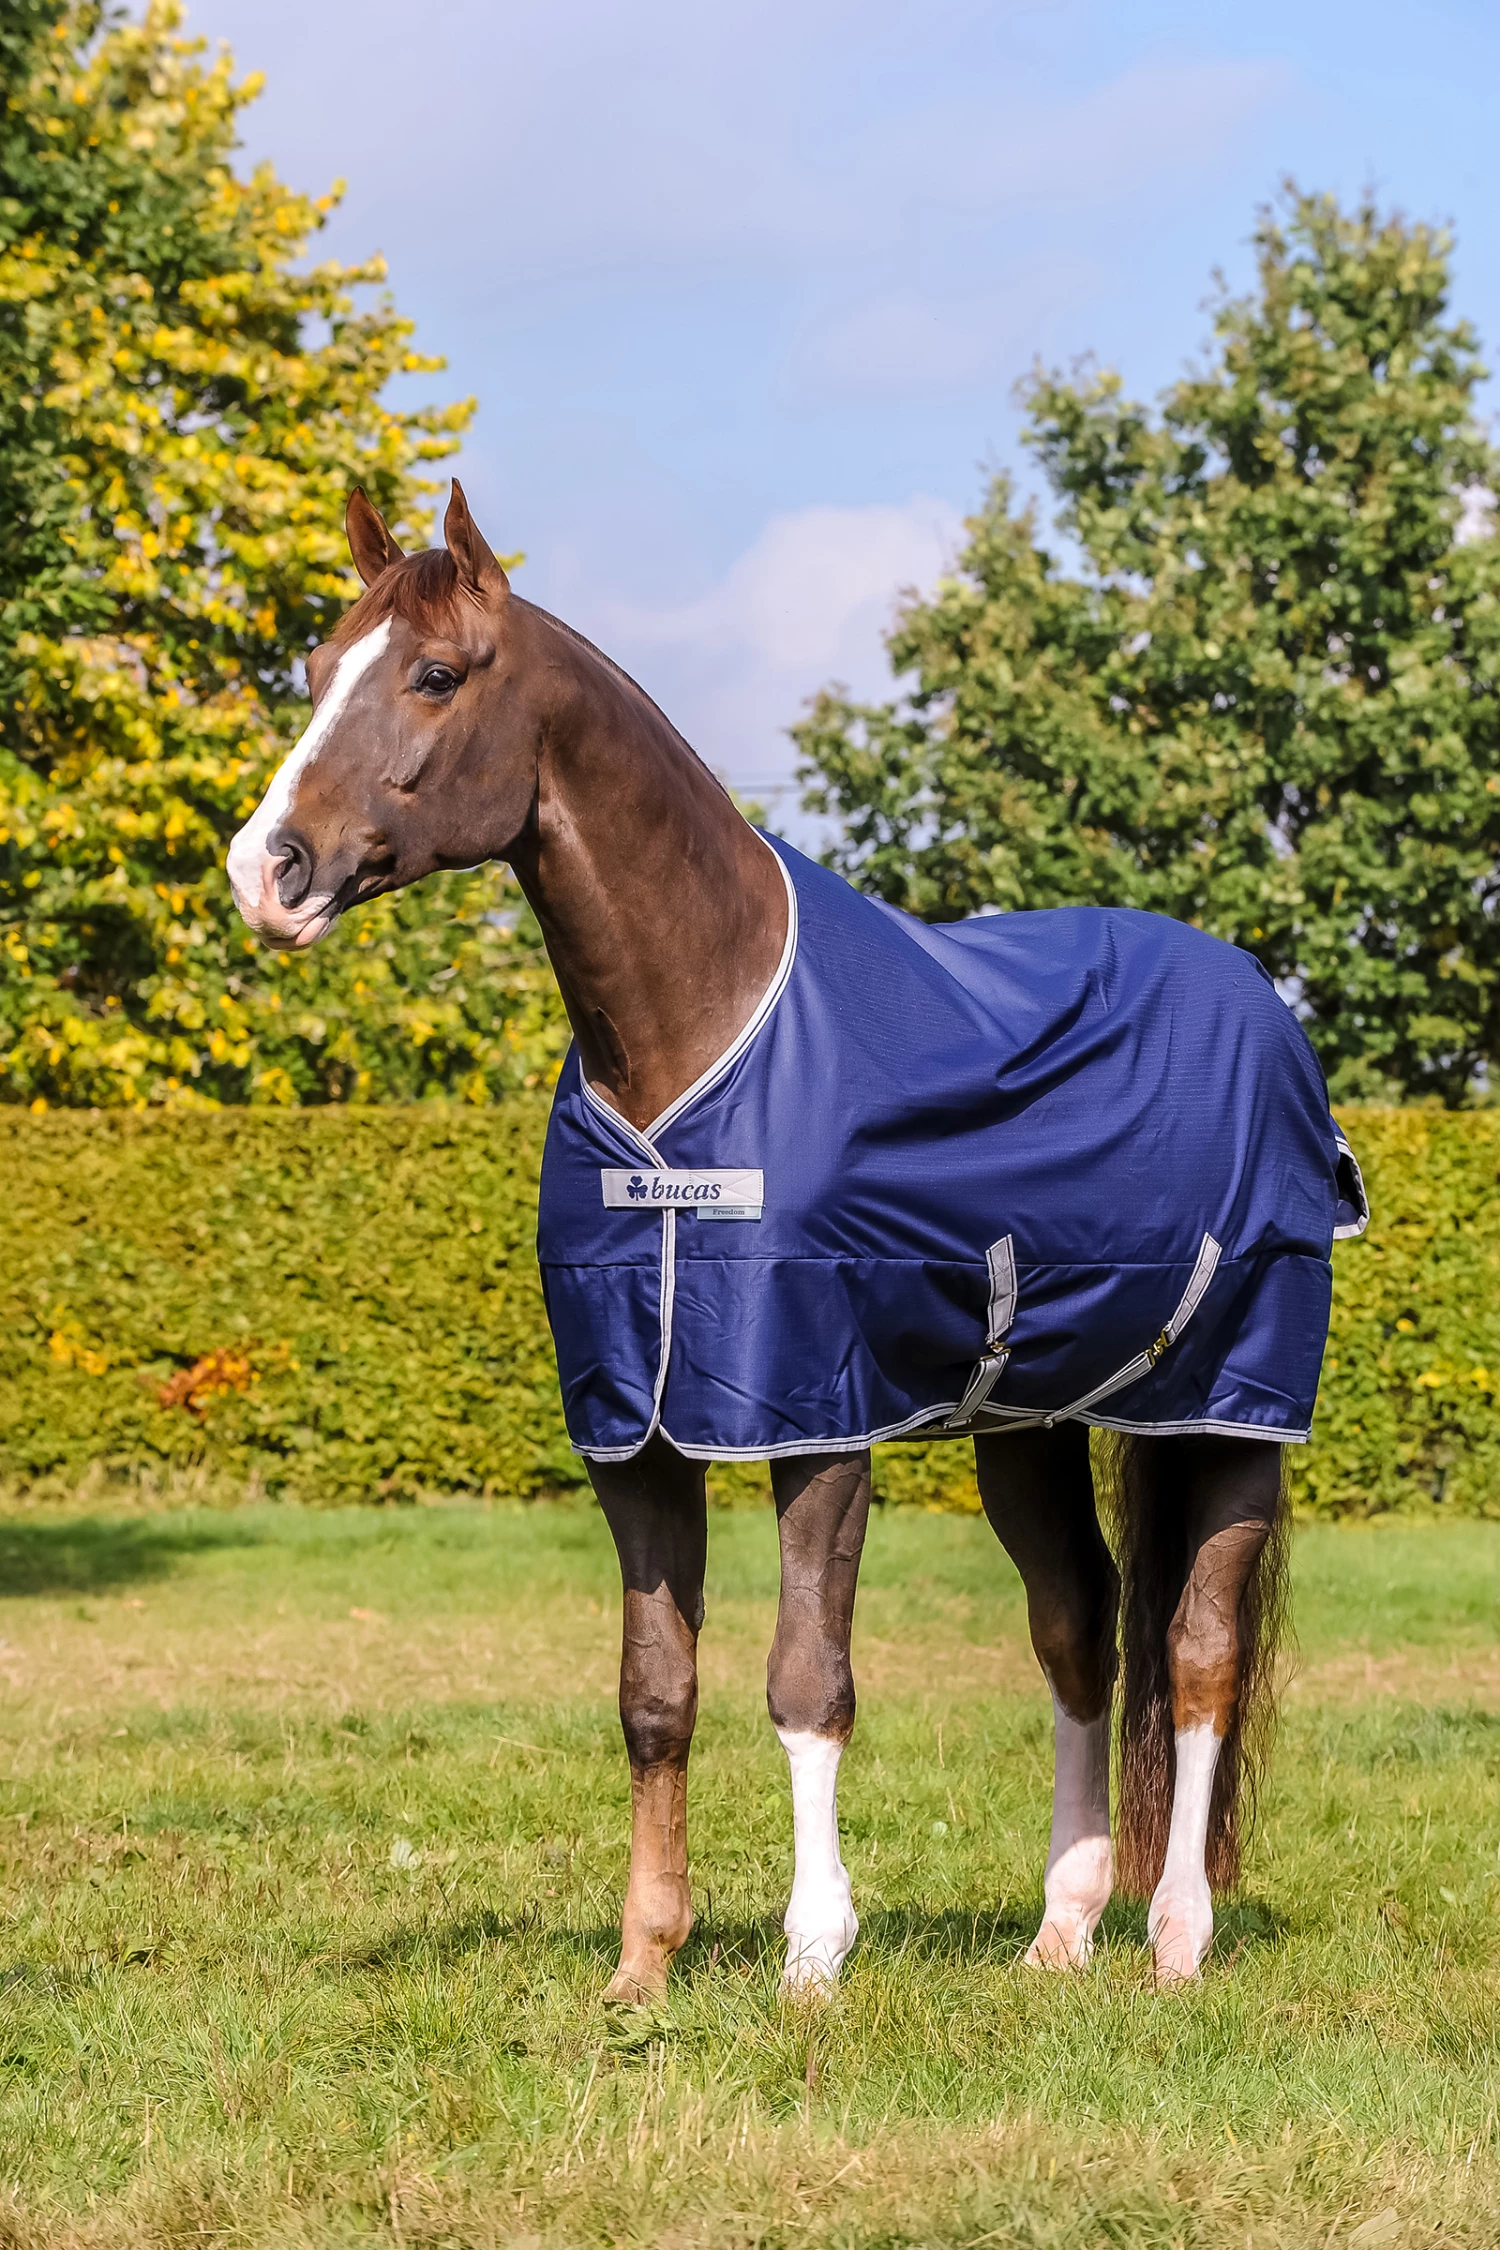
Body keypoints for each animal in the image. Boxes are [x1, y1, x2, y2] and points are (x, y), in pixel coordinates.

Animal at [227, 482, 1366, 1997]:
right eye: (312, 672)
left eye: (435, 674)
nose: (267, 870)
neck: (695, 1033)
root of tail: (1257, 1000)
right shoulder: (638, 1432)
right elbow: (656, 1691)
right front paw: (643, 1963)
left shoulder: (813, 1415)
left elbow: (806, 1681)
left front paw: (813, 1953)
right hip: (1030, 1421)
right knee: (1079, 1630)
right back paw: (1061, 1927)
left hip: (1231, 1412)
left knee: (1196, 1650)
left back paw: (1176, 1935)